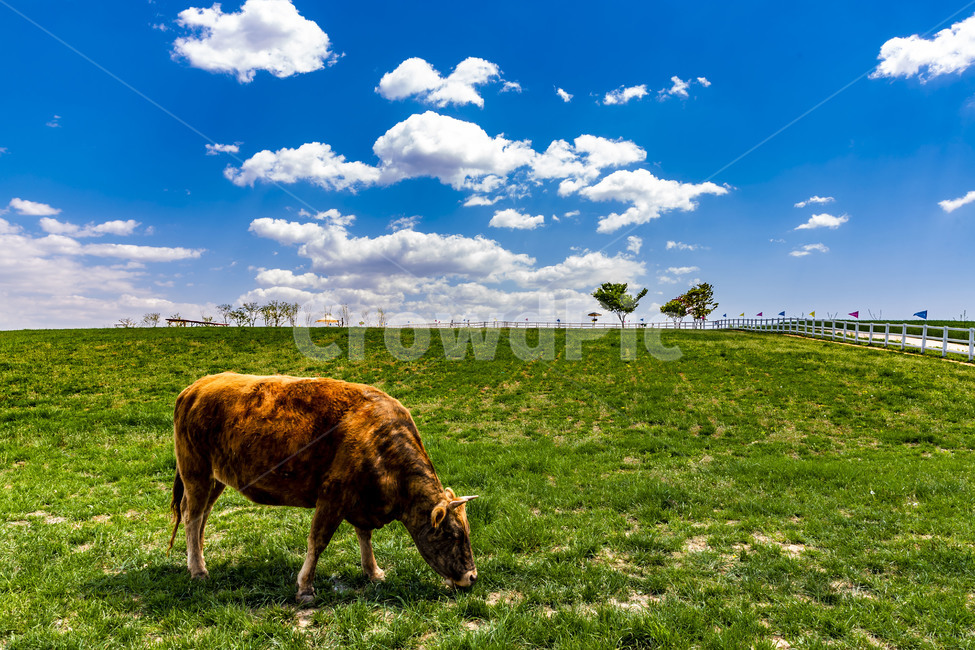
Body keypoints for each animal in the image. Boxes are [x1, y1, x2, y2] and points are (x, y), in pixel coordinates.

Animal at [168, 372, 478, 603]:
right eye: (452, 534)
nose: (472, 577)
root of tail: (196, 386)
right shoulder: (333, 496)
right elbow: (318, 541)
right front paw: (305, 587)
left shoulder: (360, 500)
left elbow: (364, 536)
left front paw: (373, 572)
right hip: (195, 471)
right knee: (191, 516)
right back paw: (198, 570)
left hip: (215, 477)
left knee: (202, 515)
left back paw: (199, 557)